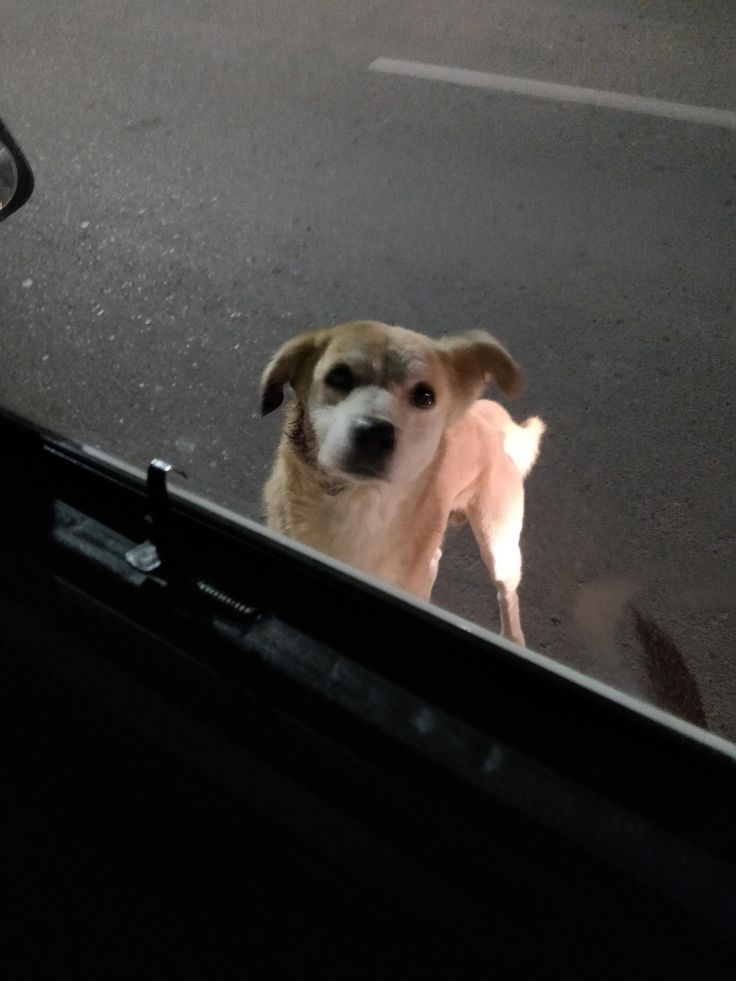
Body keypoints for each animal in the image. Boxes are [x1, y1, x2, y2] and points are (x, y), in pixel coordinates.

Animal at [262, 318, 544, 648]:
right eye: (339, 376)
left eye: (425, 396)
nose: (374, 432)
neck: (362, 505)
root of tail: (492, 425)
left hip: (500, 548)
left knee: (506, 594)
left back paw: (512, 637)